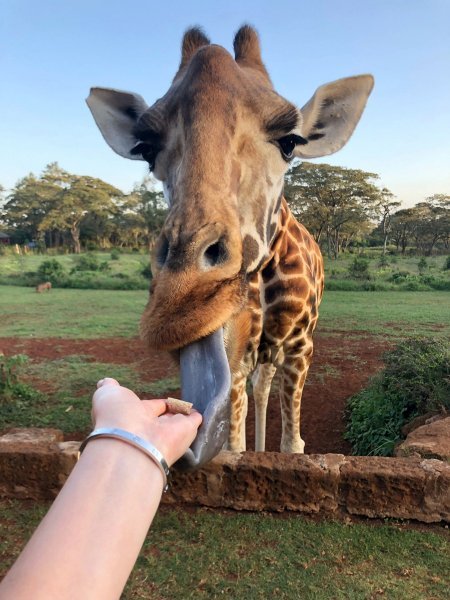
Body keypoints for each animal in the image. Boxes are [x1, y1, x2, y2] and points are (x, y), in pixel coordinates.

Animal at [85, 25, 372, 466]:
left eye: (290, 142)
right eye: (146, 149)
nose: (180, 305)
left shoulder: (301, 345)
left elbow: (294, 444)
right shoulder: (239, 354)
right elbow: (234, 444)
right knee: (260, 387)